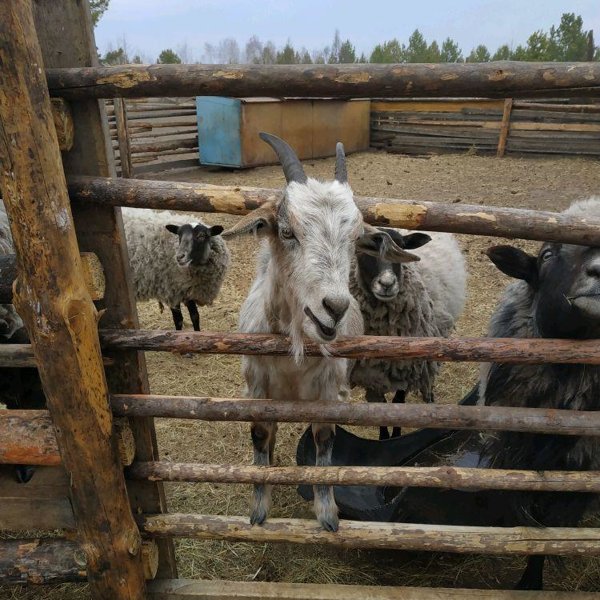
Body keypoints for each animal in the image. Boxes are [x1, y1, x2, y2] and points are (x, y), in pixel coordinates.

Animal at [223, 132, 424, 528]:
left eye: (355, 239)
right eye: (287, 231)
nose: (334, 308)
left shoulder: (328, 391)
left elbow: (324, 442)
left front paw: (327, 513)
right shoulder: (257, 388)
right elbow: (260, 434)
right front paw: (259, 510)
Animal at [350, 227, 466, 438]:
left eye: (402, 248)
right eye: (363, 251)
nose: (387, 284)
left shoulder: (411, 367)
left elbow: (398, 404)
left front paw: (395, 436)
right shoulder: (369, 374)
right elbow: (380, 408)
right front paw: (383, 439)